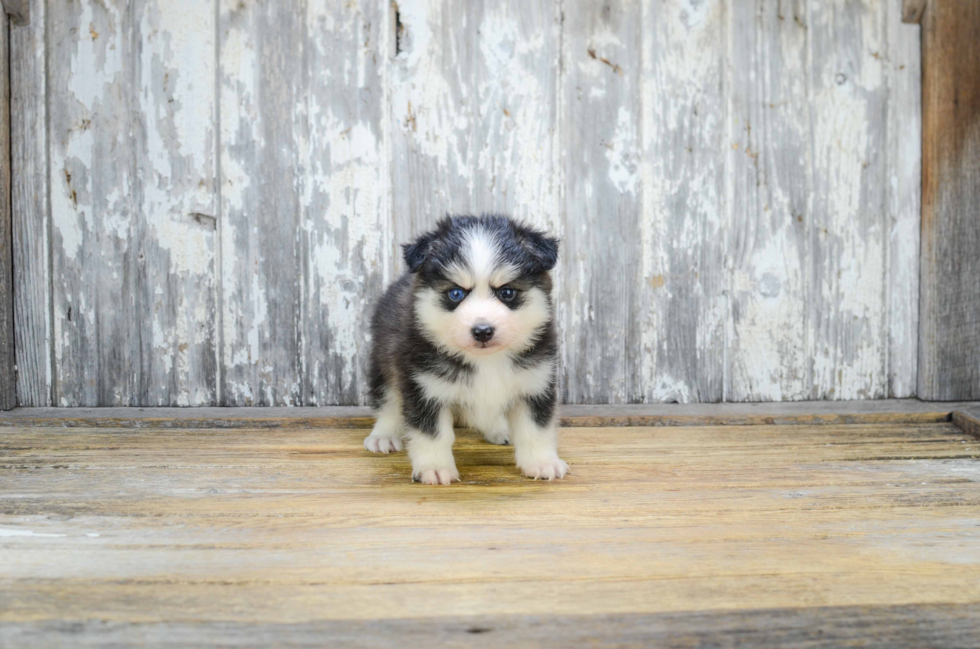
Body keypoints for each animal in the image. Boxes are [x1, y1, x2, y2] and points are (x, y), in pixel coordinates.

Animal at [366, 215, 568, 484]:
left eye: (506, 292)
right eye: (456, 293)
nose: (482, 331)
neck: (486, 361)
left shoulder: (535, 383)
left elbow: (535, 429)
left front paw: (542, 462)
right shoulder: (425, 388)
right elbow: (432, 433)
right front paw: (434, 467)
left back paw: (498, 429)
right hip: (384, 364)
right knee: (388, 402)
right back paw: (384, 436)